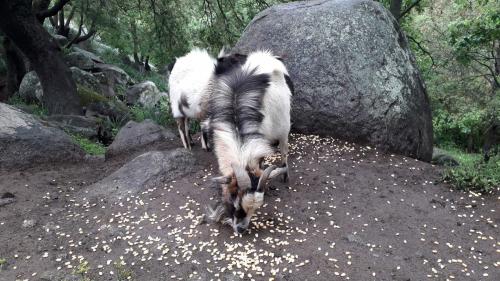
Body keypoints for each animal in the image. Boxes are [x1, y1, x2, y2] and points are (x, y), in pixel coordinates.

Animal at [205, 50, 292, 234]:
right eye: (235, 200)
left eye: (256, 209)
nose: (241, 229)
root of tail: (266, 56)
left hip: (284, 127)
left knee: (284, 150)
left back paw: (285, 175)